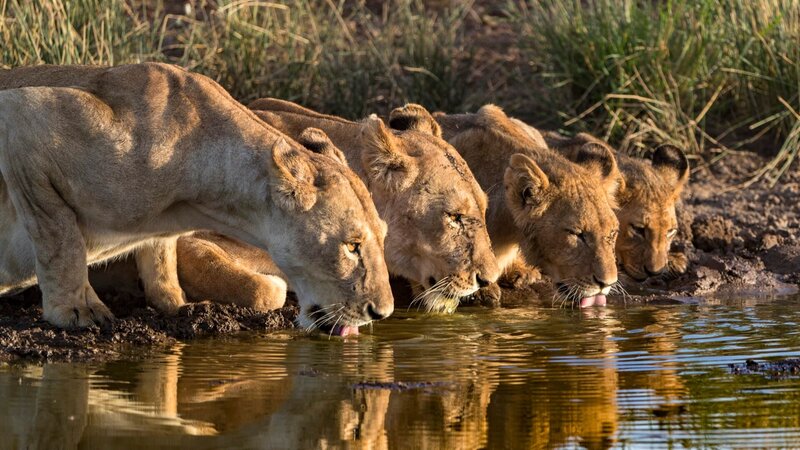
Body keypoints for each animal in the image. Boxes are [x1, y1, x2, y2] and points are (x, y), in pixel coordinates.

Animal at [0, 62, 393, 334]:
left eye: (383, 237)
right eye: (352, 245)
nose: (383, 313)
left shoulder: (161, 231)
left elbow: (162, 259)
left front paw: (176, 303)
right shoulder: (23, 117)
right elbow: (59, 238)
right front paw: (77, 311)